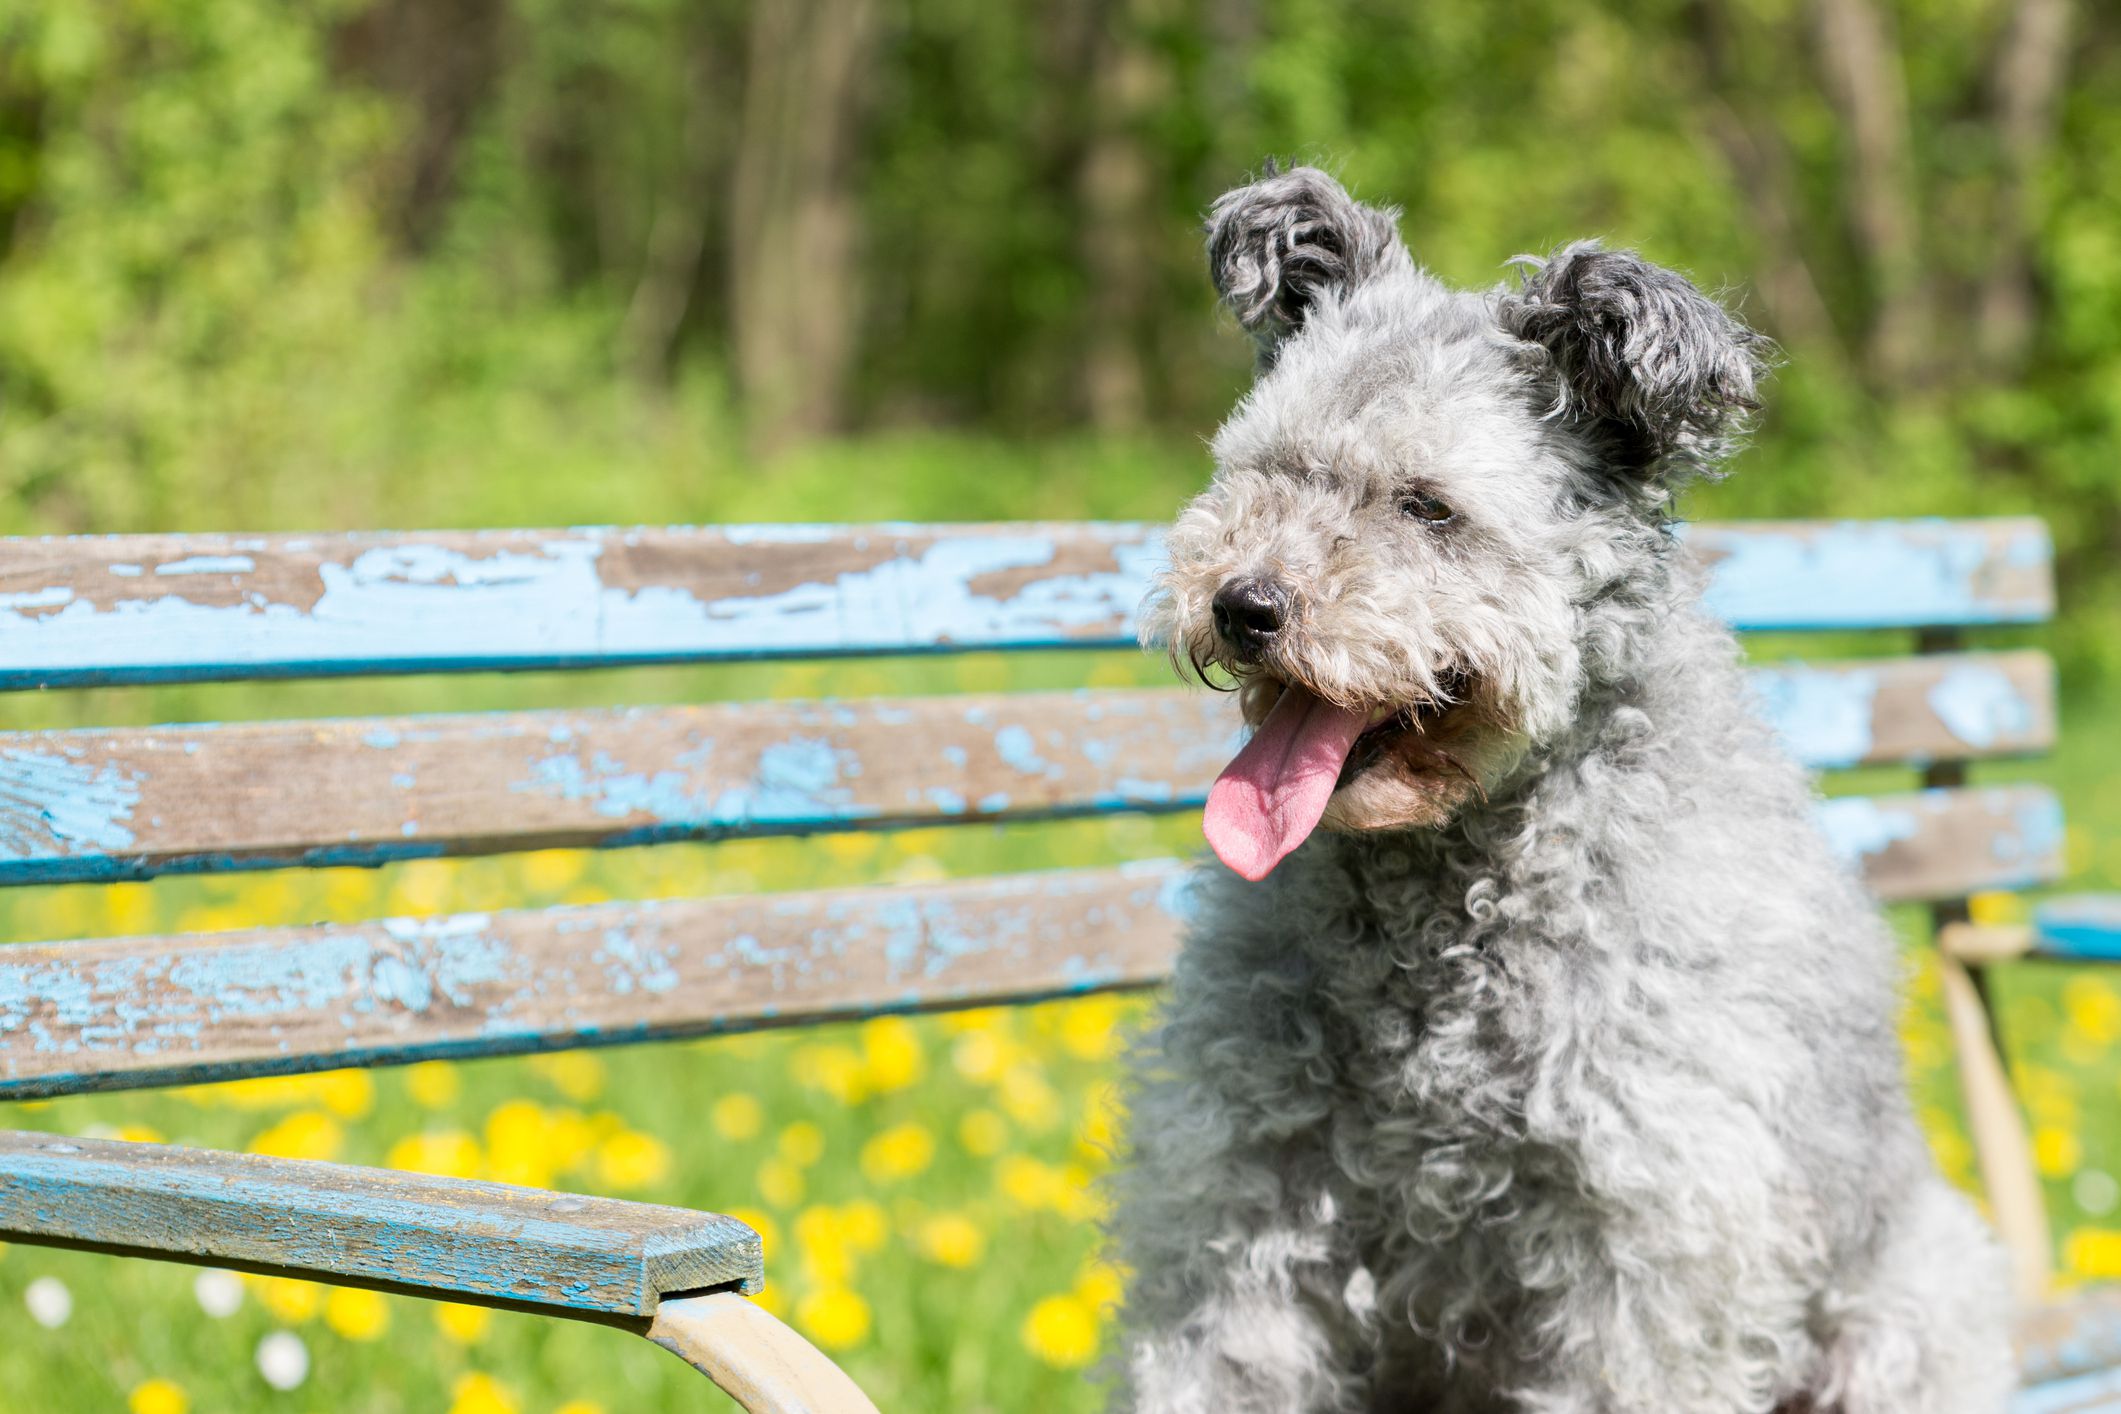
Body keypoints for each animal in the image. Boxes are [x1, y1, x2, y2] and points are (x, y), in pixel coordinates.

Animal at [1102, 163, 2010, 1414]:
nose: (1243, 604)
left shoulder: (1651, 1225)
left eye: (1427, 506)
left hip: (1904, 1321)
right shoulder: (1243, 1200)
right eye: (1263, 471)